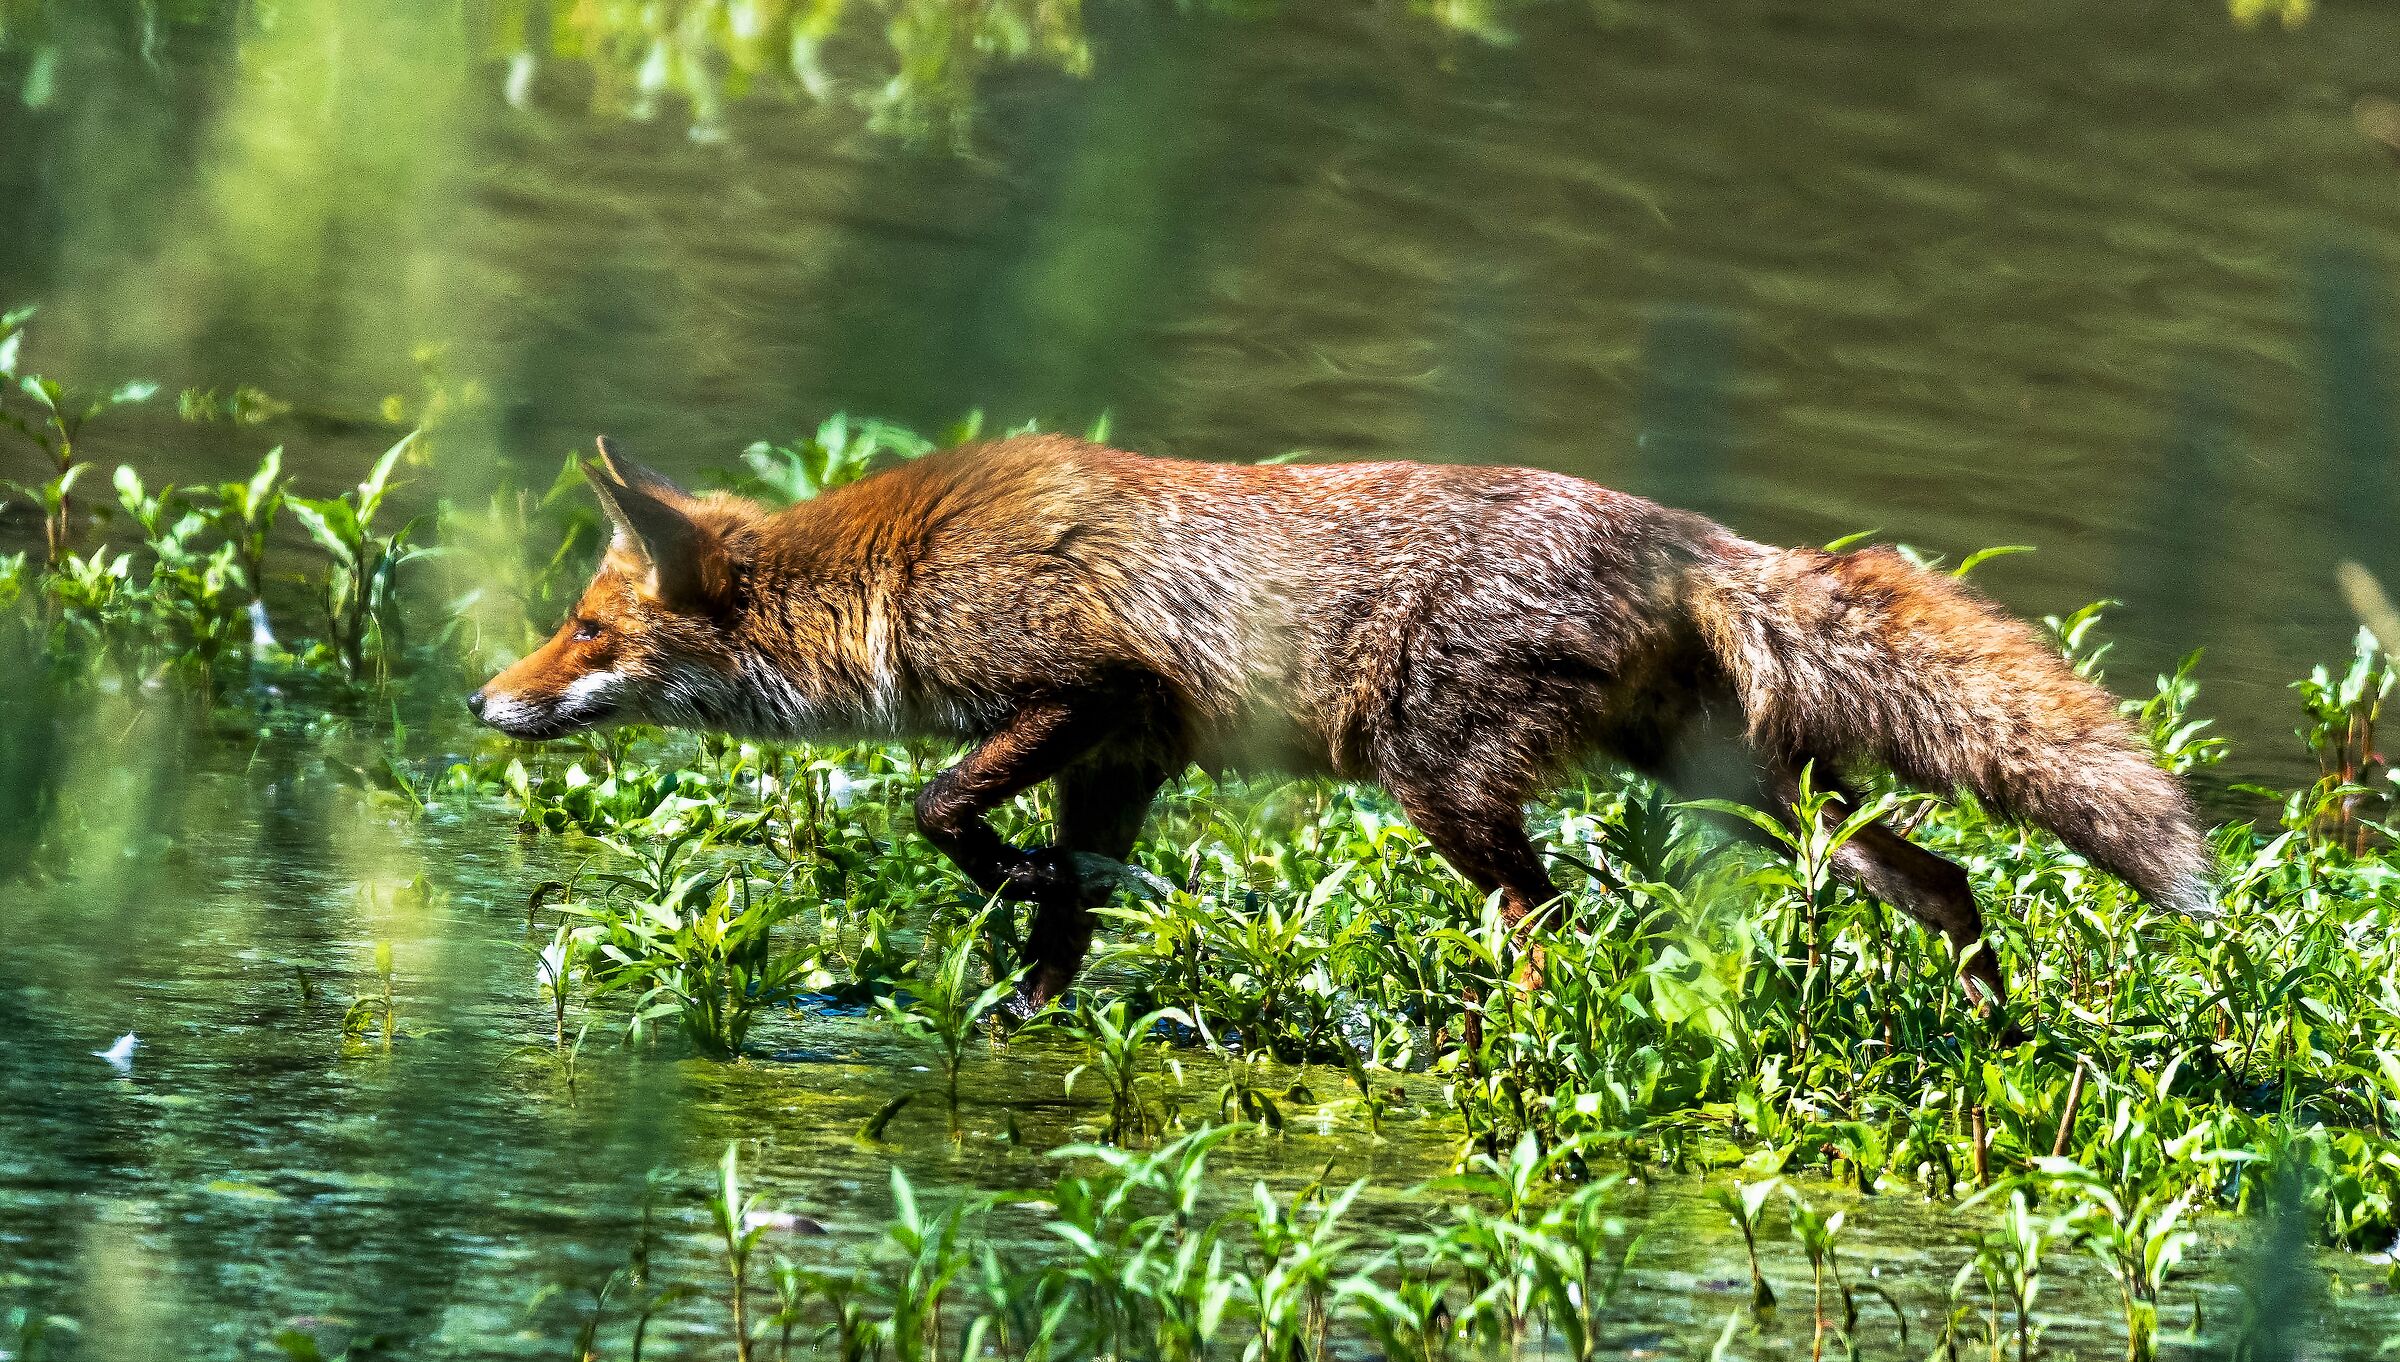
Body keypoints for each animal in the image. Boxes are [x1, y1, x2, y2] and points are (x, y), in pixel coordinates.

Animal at [471, 434, 2214, 1022]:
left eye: (586, 633)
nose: (483, 701)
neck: (904, 571)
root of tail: (1681, 531)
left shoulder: (1087, 696)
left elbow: (942, 813)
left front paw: (1004, 882)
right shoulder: (1126, 759)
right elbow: (1056, 932)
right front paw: (1018, 1008)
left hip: (1441, 784)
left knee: (1548, 928)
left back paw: (1510, 1061)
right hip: (1740, 795)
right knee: (1946, 879)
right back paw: (1994, 1039)